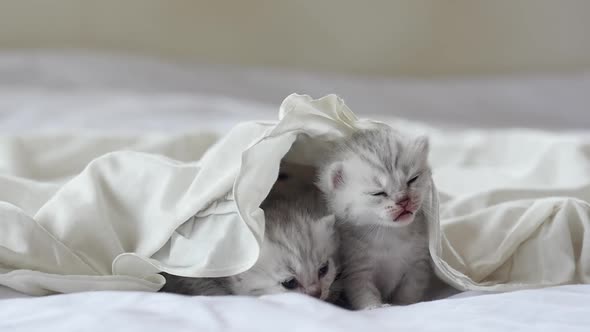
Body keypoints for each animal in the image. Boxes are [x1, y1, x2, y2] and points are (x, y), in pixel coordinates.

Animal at [320, 126, 434, 310]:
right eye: (378, 193)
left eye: (412, 179)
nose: (404, 200)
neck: (389, 233)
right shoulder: (357, 270)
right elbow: (365, 293)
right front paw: (375, 307)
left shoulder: (418, 266)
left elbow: (408, 292)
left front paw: (402, 305)